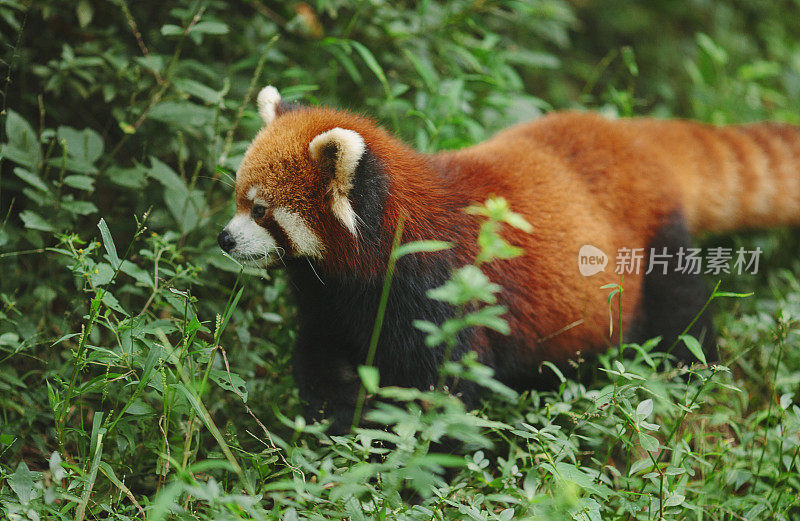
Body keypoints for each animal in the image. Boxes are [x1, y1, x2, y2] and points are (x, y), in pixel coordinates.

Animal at [219, 84, 800, 426]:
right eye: (238, 200)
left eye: (262, 211)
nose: (225, 239)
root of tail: (631, 137)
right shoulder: (333, 302)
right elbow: (324, 363)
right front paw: (332, 427)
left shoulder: (437, 291)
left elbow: (443, 393)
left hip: (656, 250)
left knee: (680, 321)